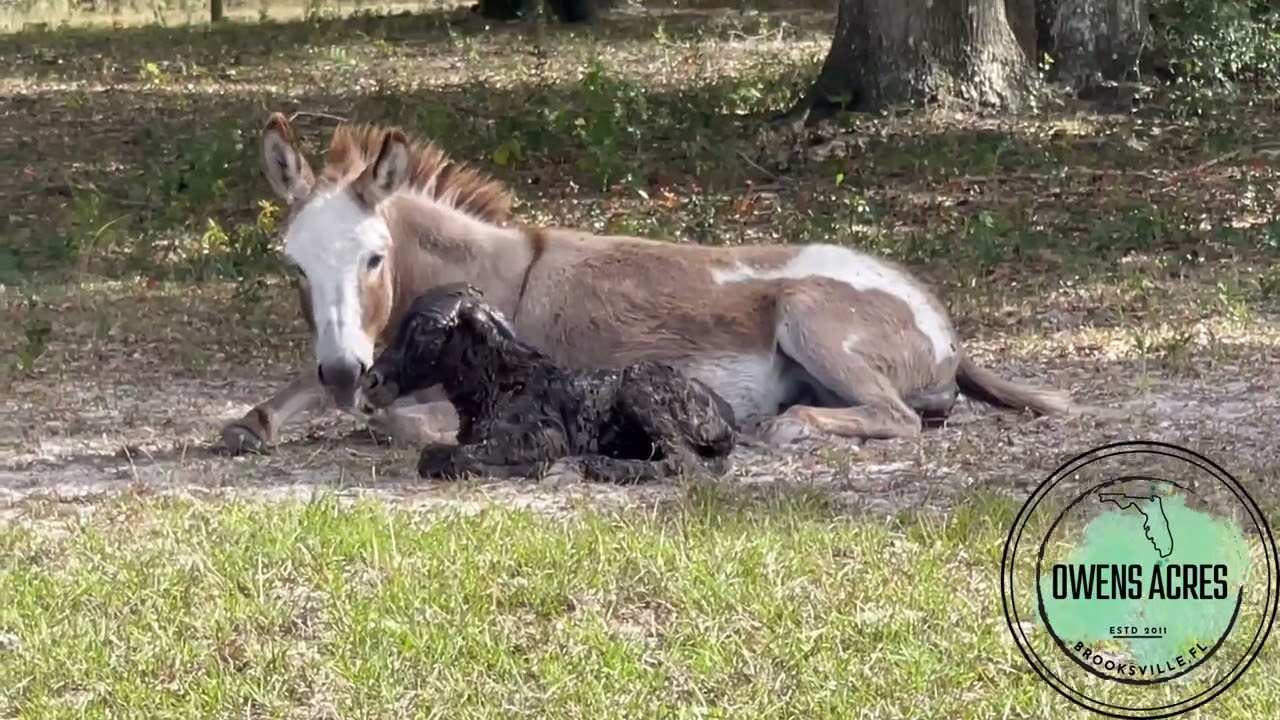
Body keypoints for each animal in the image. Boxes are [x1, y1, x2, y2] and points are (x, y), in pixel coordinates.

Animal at [216, 112, 1072, 455]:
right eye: (294, 265)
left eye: (372, 258)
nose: (343, 373)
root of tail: (942, 323)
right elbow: (288, 395)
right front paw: (253, 422)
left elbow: (400, 421)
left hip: (809, 316)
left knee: (895, 416)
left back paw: (790, 428)